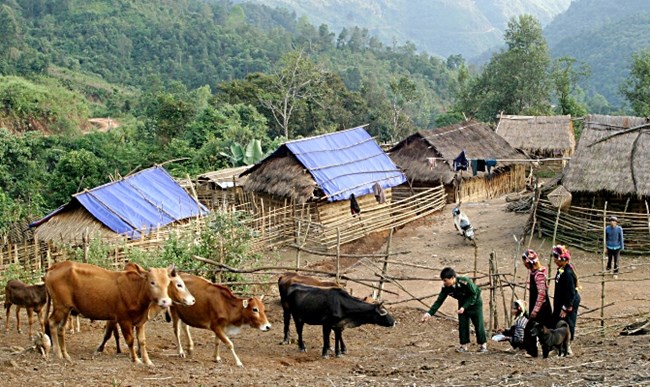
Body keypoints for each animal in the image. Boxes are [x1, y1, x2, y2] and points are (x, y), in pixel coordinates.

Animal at [43, 260, 176, 366]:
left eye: (168, 283)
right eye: (152, 282)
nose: (165, 301)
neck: (135, 290)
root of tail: (55, 266)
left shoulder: (140, 322)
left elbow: (142, 342)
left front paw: (148, 361)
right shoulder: (124, 320)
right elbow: (130, 340)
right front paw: (136, 360)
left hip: (66, 309)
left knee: (61, 328)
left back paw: (66, 355)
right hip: (61, 307)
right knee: (52, 323)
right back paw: (58, 353)